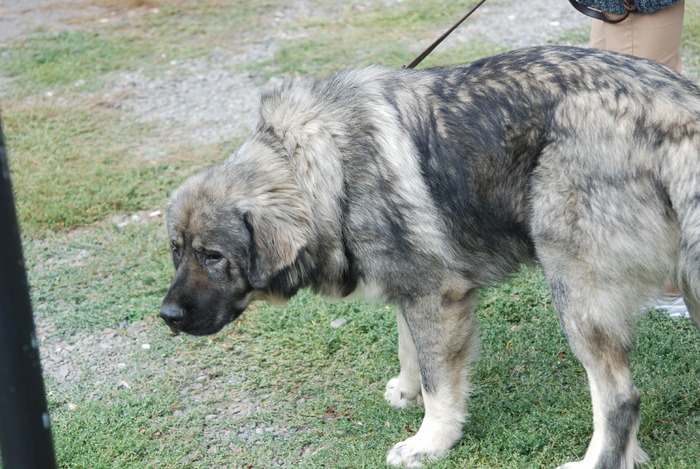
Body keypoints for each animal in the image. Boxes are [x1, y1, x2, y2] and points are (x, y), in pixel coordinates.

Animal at [160, 44, 700, 468]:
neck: (327, 172)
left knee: (620, 397)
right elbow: (410, 348)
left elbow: (441, 384)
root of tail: (677, 111)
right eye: (176, 251)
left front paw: (430, 442)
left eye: (214, 256)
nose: (167, 316)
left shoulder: (437, 296)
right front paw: (407, 389)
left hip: (574, 289)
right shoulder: (412, 285)